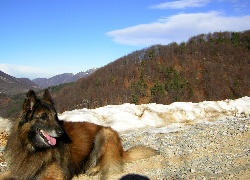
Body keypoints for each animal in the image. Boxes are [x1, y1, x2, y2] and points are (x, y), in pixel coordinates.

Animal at [0, 89, 158, 179]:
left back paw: (93, 170)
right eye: (43, 117)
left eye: (55, 116)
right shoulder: (19, 170)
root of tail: (121, 151)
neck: (33, 149)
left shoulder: (54, 176)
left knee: (107, 162)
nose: (61, 133)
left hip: (104, 134)